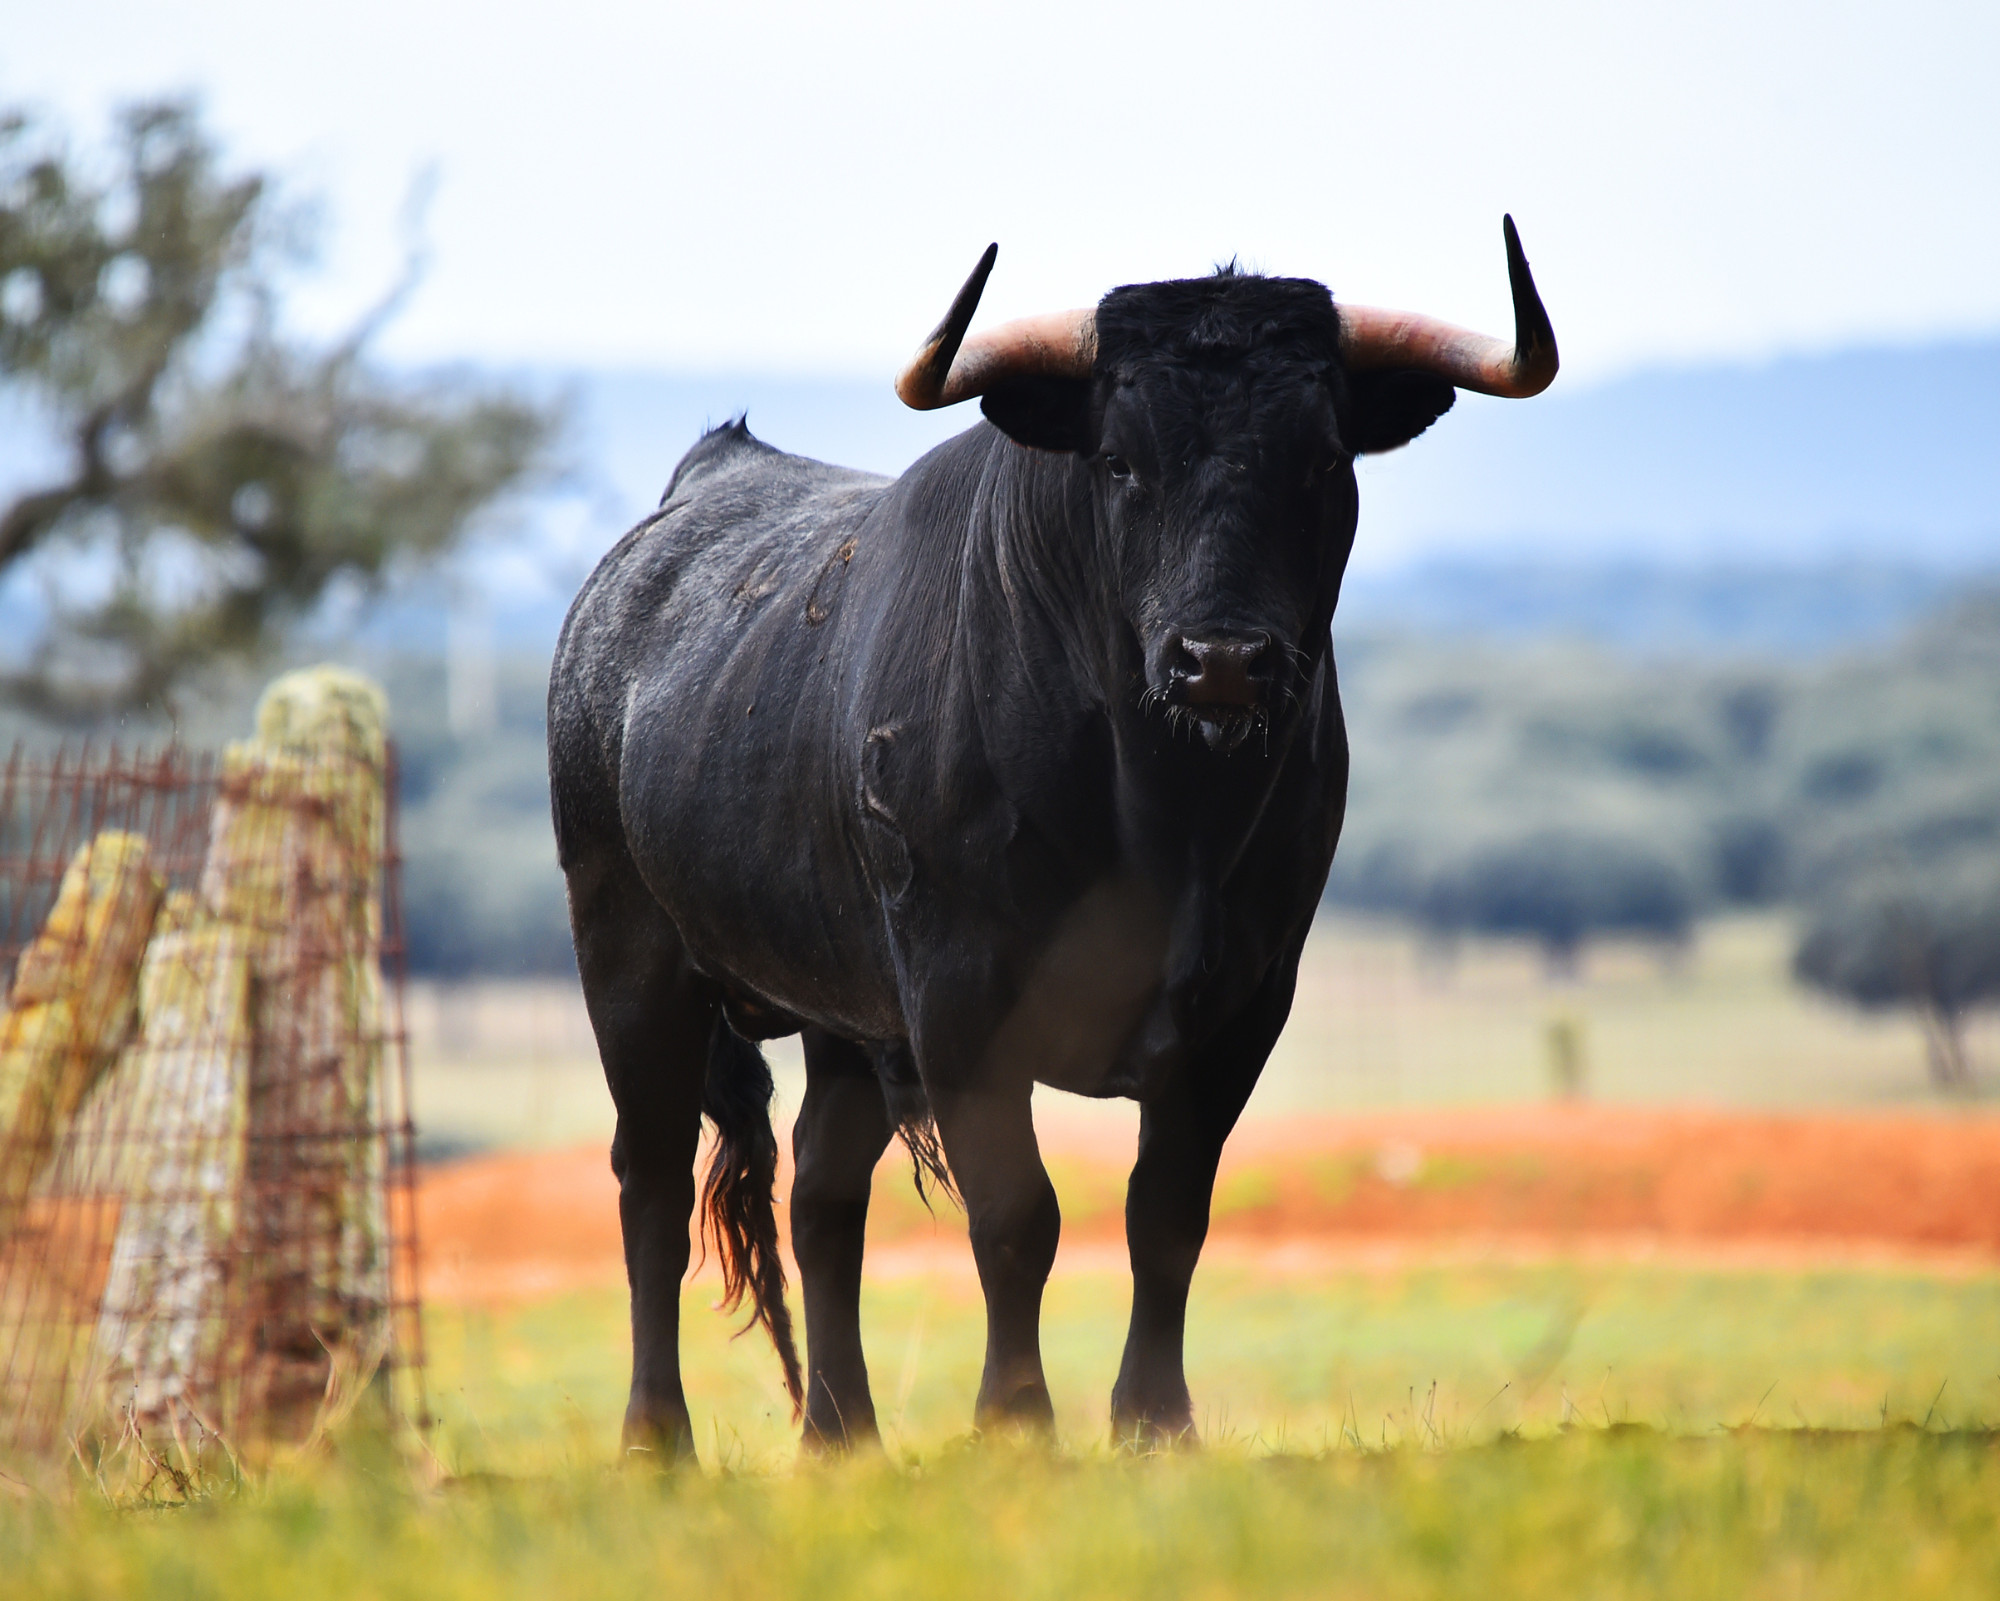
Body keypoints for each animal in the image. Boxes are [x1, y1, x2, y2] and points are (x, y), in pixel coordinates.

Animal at [547, 218, 1557, 1461]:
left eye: (1322, 460)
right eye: (1119, 461)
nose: (1221, 659)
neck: (1161, 818)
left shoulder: (1240, 1002)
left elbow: (1165, 1214)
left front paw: (1154, 1423)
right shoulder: (962, 999)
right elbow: (1016, 1213)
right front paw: (1015, 1421)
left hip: (842, 1009)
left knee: (823, 1194)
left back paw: (840, 1435)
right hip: (629, 954)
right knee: (647, 1178)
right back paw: (657, 1438)